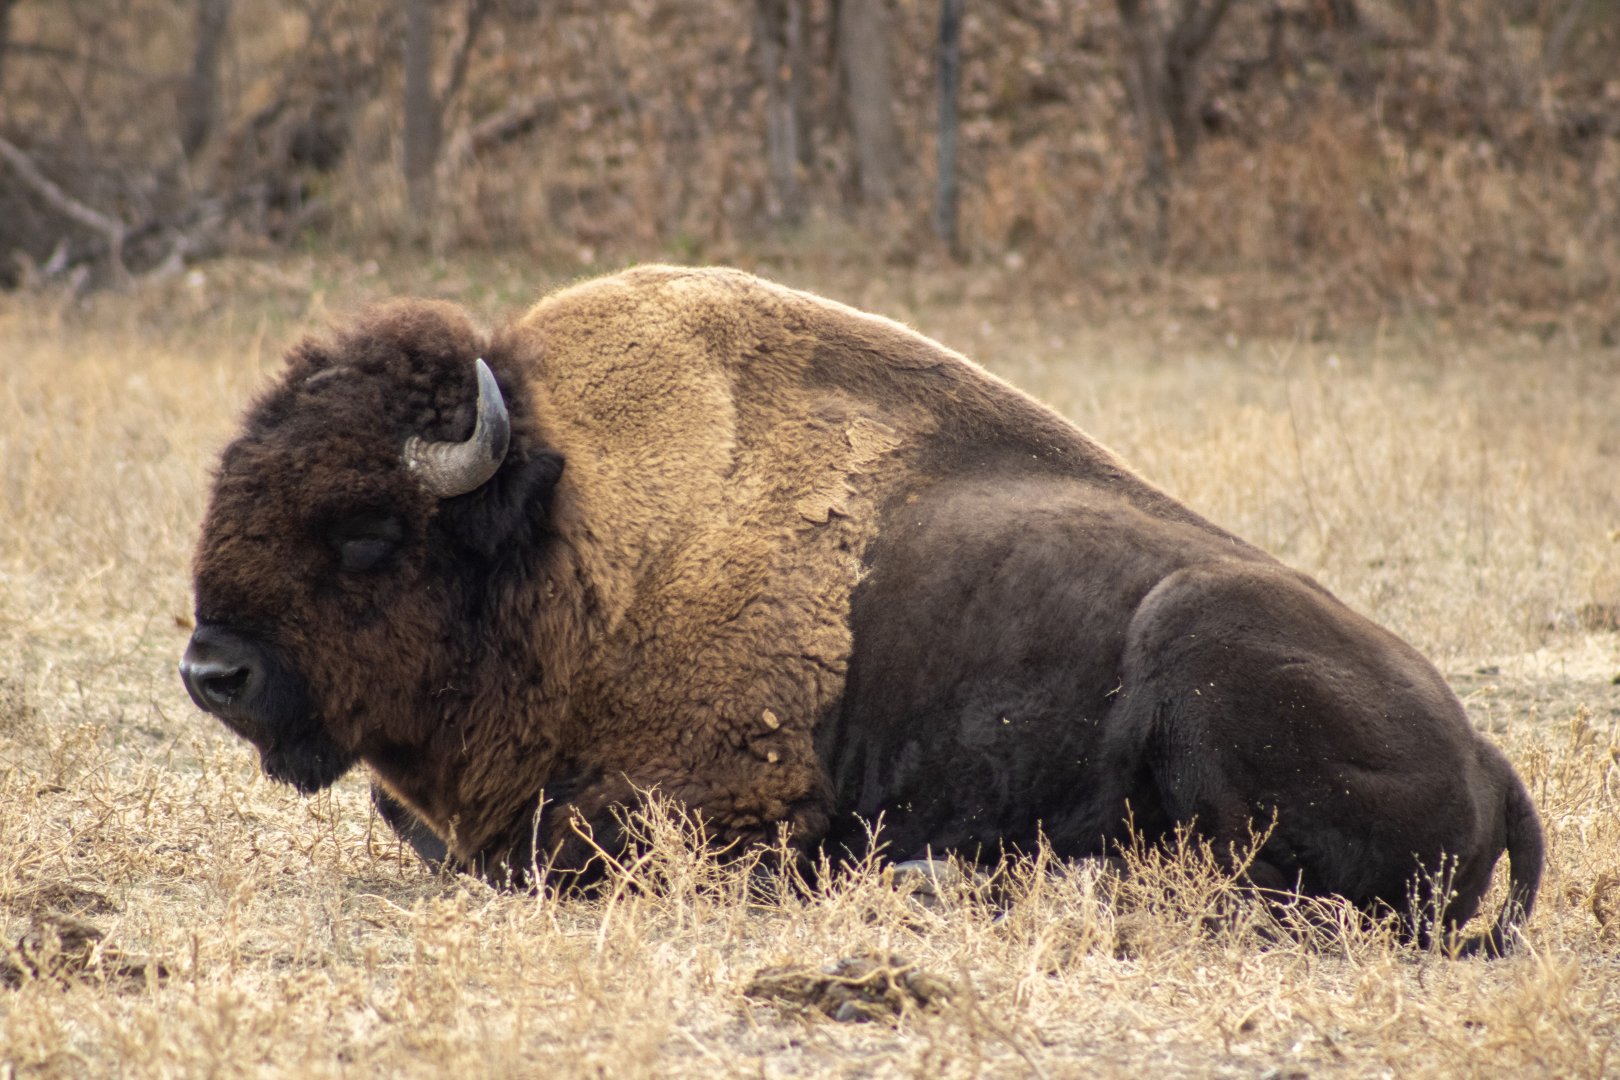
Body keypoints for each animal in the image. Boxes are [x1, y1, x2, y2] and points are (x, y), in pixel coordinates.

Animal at [181, 266, 1541, 953]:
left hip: (1192, 642)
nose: (212, 673)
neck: (576, 532)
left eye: (366, 533)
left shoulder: (694, 814)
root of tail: (1486, 756)